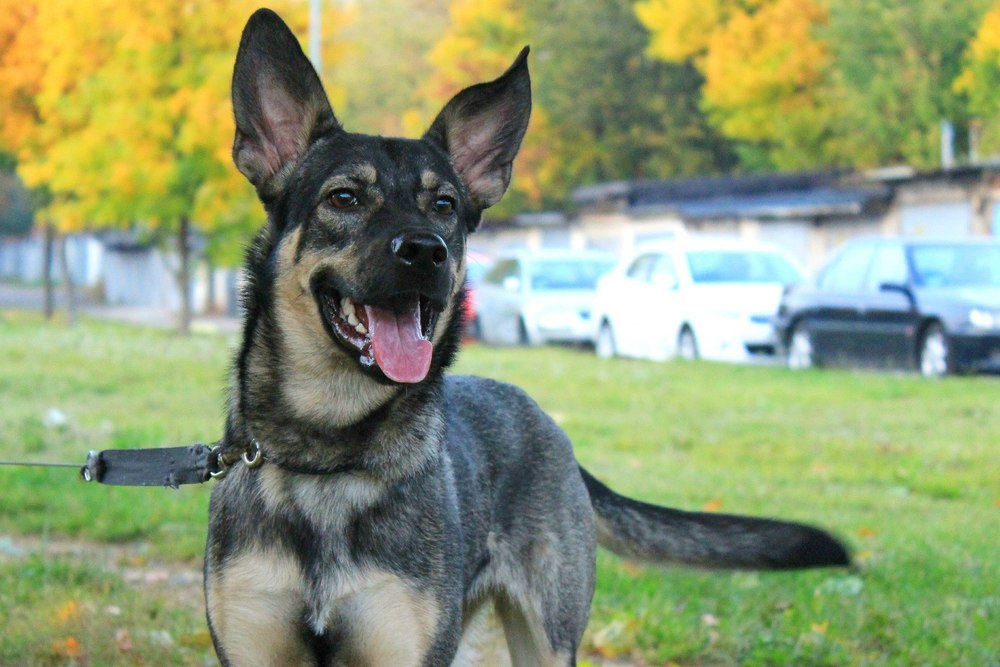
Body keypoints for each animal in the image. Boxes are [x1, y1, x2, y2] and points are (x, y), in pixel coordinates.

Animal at [207, 7, 848, 664]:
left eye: (445, 205)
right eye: (344, 197)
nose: (426, 252)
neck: (329, 458)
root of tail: (548, 424)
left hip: (545, 634)